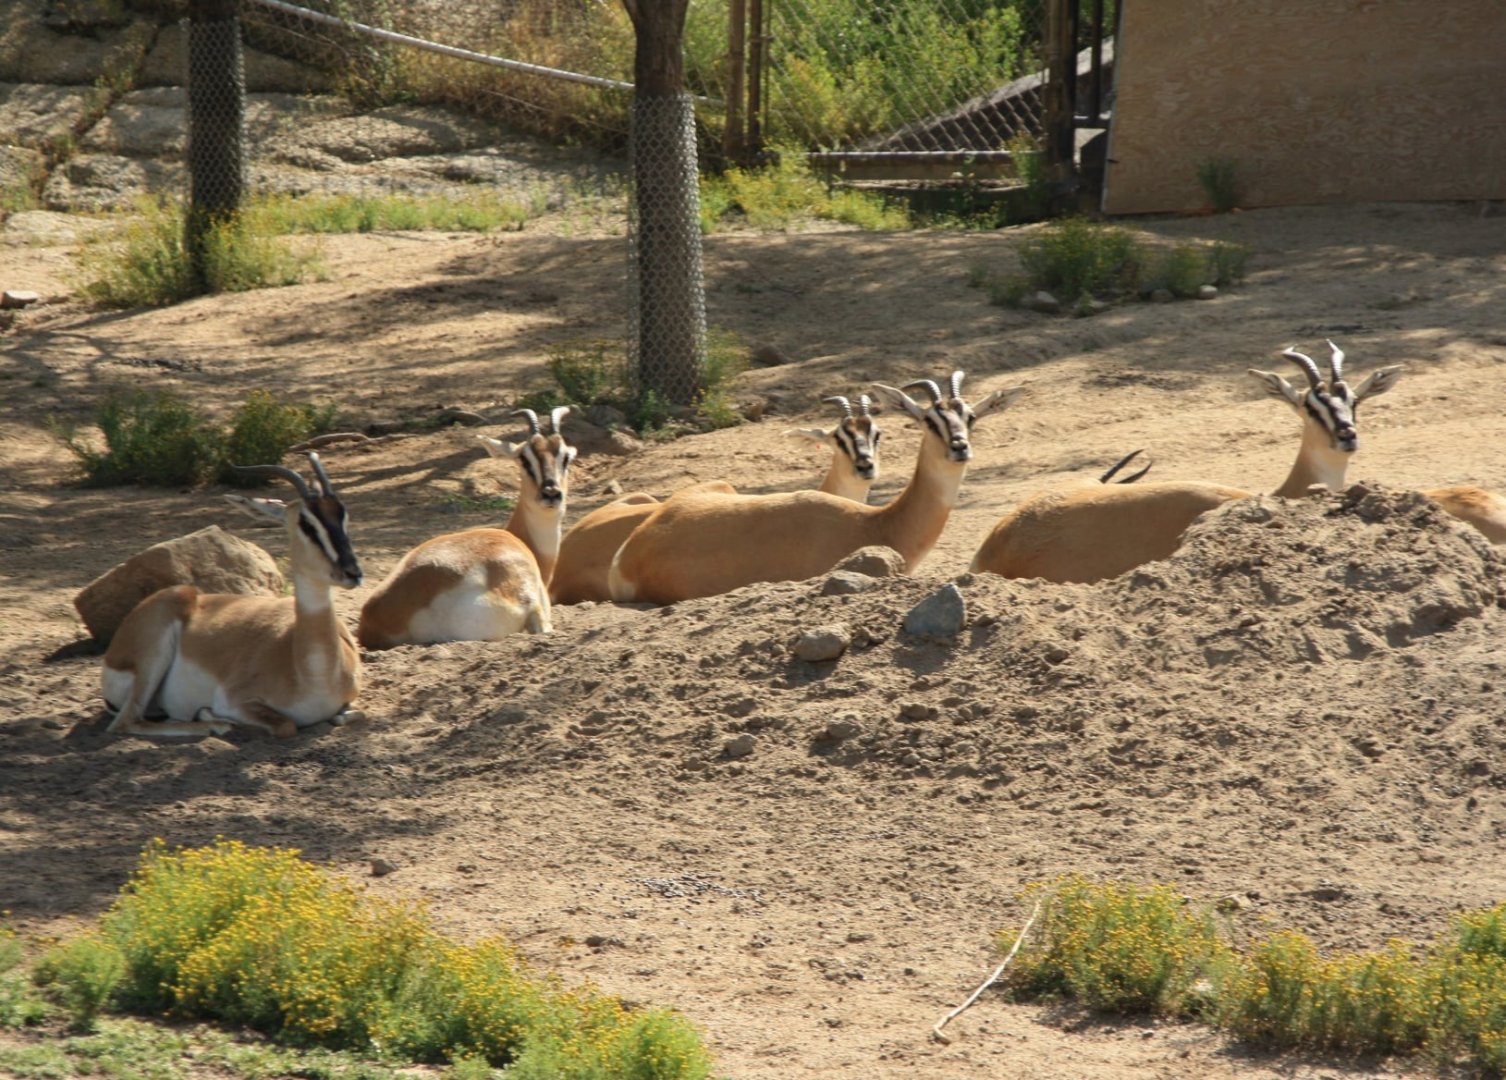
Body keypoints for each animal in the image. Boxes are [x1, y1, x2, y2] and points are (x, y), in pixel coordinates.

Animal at [100, 453, 363, 739]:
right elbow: (286, 725)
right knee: (125, 722)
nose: (353, 572)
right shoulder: (233, 701)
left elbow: (345, 715)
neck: (312, 674)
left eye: (343, 515)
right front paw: (210, 715)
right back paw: (214, 724)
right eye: (306, 524)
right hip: (153, 659)